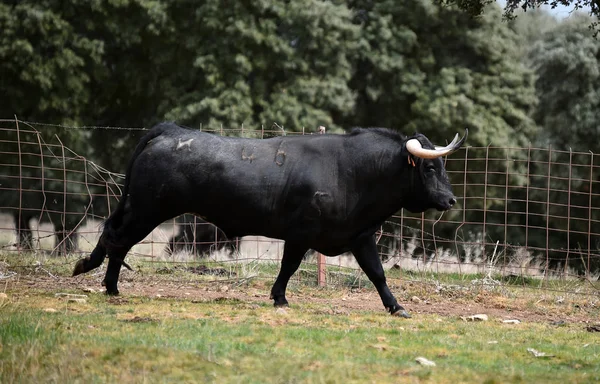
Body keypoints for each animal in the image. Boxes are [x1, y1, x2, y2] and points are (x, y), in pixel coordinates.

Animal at [72, 123, 466, 318]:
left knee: (115, 238)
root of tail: (169, 130)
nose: (450, 200)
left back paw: (104, 280)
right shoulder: (302, 232)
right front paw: (279, 298)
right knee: (117, 239)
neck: (352, 170)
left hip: (142, 209)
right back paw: (106, 283)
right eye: (430, 168)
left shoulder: (360, 235)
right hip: (147, 210)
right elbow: (288, 266)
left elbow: (377, 273)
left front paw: (397, 307)